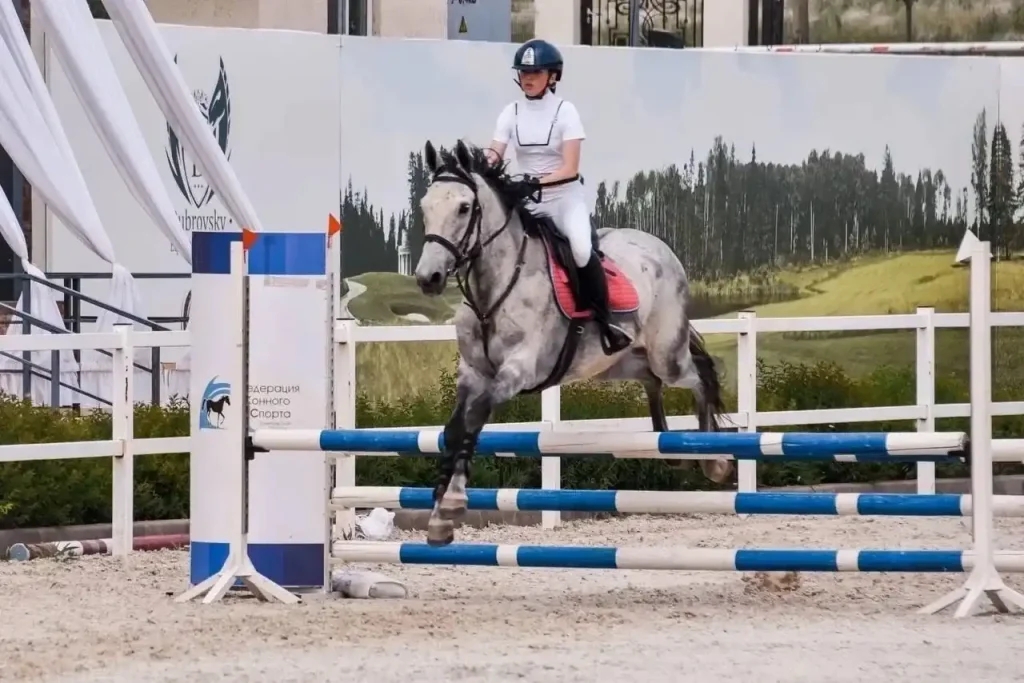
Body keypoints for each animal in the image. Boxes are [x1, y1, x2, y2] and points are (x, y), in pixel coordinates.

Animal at [414, 139, 734, 547]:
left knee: (699, 376)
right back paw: (668, 446)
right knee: (651, 379)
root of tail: (661, 247)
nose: (428, 278)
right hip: (615, 363)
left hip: (668, 355)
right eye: (425, 207)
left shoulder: (520, 369)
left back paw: (714, 459)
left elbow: (475, 416)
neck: (493, 291)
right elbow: (454, 429)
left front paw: (452, 503)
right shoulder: (471, 373)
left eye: (464, 207)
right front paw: (439, 513)